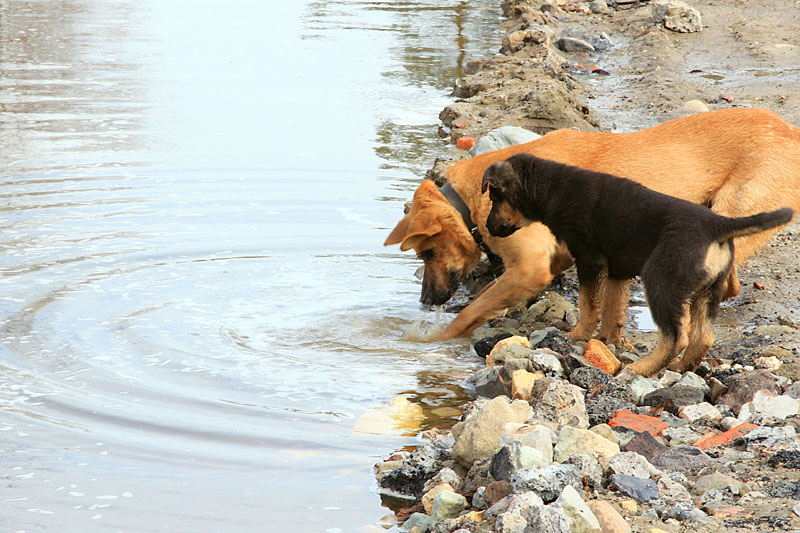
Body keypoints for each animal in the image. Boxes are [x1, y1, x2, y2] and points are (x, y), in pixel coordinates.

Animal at [386, 107, 800, 340]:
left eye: (426, 253)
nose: (425, 302)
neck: (471, 200)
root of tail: (789, 130)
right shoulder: (567, 258)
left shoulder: (531, 267)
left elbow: (470, 312)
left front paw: (432, 340)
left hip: (729, 215)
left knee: (722, 286)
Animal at [482, 154, 792, 376]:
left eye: (494, 197)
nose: (487, 227)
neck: (553, 188)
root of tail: (717, 225)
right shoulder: (616, 271)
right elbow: (611, 310)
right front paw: (605, 340)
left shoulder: (589, 259)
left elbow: (588, 304)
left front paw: (577, 335)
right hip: (708, 290)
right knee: (702, 337)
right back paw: (679, 367)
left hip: (661, 280)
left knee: (675, 337)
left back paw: (642, 368)